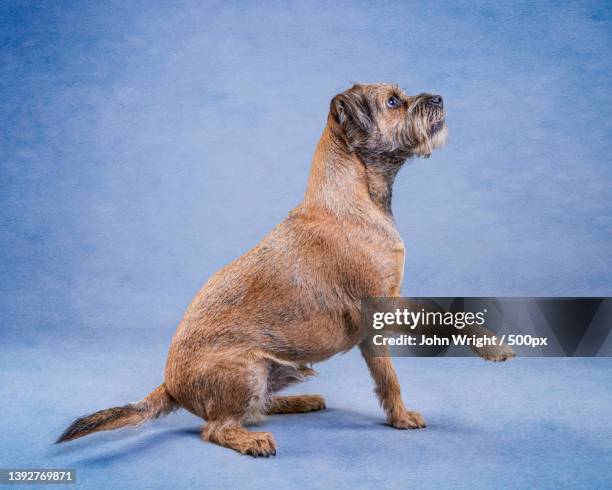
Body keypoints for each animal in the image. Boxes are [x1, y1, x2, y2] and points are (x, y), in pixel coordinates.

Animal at [56, 83, 506, 456]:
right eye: (394, 101)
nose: (439, 98)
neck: (354, 195)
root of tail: (170, 385)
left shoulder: (375, 326)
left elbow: (389, 374)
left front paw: (399, 416)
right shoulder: (385, 306)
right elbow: (442, 320)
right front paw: (491, 346)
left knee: (255, 409)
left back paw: (298, 401)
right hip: (248, 369)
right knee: (217, 427)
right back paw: (251, 440)